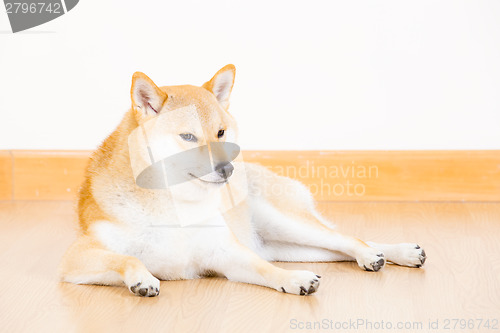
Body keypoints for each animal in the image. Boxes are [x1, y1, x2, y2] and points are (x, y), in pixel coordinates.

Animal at [58, 65, 426, 296]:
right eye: (188, 137)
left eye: (221, 133)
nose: (226, 169)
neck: (175, 206)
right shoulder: (76, 259)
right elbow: (128, 258)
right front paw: (141, 279)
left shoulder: (226, 254)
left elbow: (267, 271)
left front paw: (293, 280)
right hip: (281, 245)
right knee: (336, 247)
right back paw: (395, 253)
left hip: (283, 222)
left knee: (348, 239)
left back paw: (385, 253)